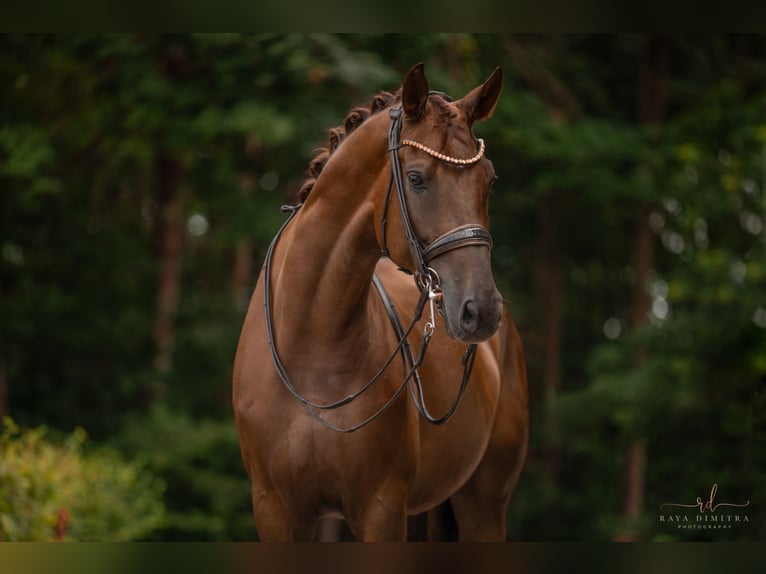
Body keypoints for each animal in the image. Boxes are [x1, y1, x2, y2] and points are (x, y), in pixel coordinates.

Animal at [234, 65, 532, 544]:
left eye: (489, 180)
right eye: (416, 178)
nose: (482, 310)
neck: (313, 347)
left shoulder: (381, 509)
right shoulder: (275, 510)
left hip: (483, 505)